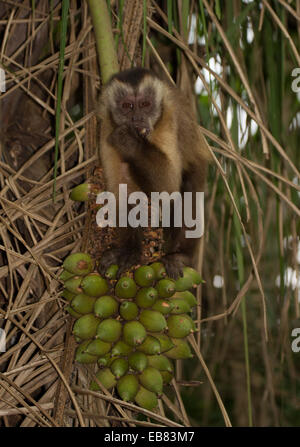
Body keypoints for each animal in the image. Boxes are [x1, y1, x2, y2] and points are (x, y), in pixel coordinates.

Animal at [97, 68, 210, 278]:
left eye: (144, 104)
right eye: (127, 106)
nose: (137, 119)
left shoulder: (168, 119)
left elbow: (168, 189)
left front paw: (131, 144)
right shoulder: (107, 129)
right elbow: (122, 192)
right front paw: (130, 250)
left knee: (189, 189)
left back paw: (180, 256)